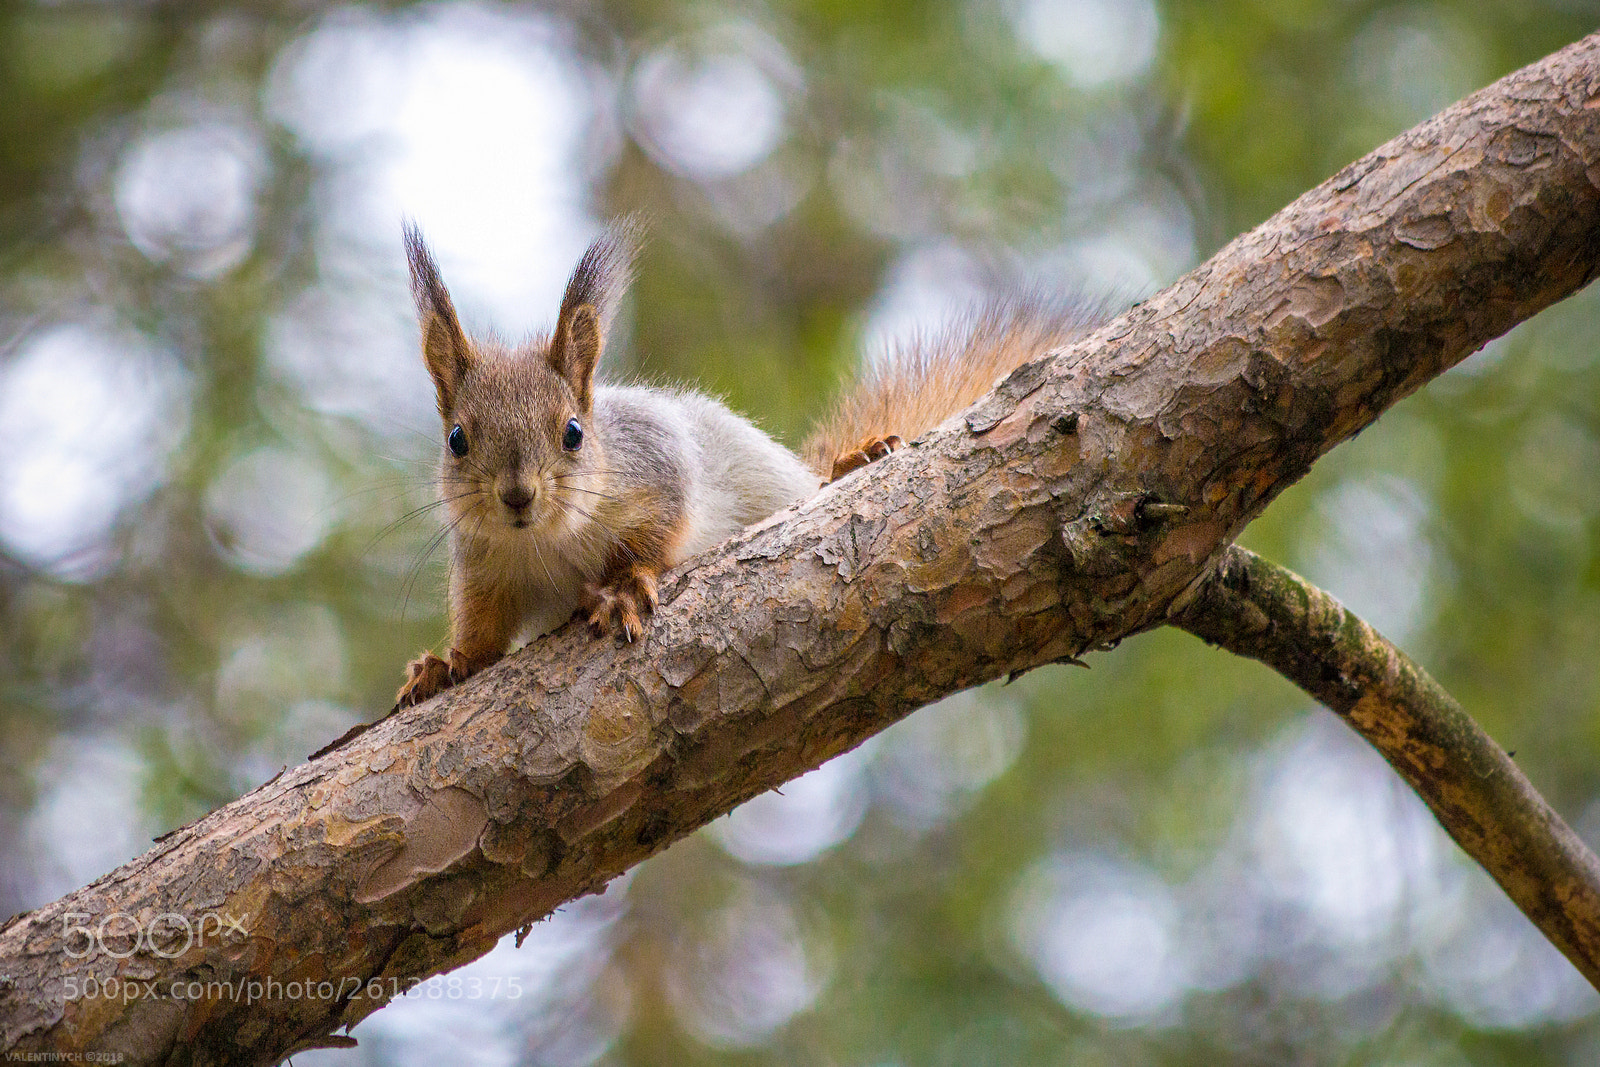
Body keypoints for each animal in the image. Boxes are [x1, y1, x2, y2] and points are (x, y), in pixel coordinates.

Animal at [395, 220, 1105, 708]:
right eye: (457, 439)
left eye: (573, 432)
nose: (517, 496)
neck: (545, 541)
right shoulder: (483, 565)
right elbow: (483, 631)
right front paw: (446, 665)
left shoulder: (657, 465)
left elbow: (659, 529)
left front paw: (623, 583)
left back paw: (853, 462)